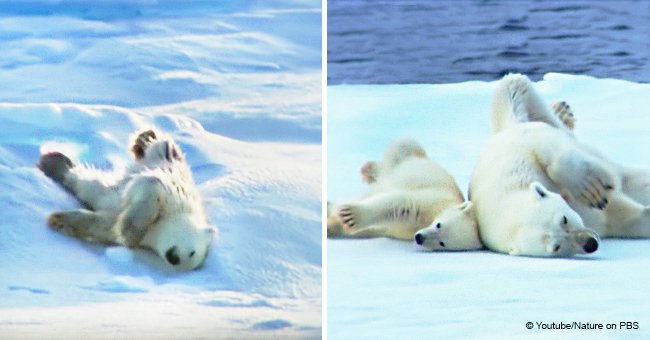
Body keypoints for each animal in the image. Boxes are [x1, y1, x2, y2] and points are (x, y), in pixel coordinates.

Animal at [38, 127, 215, 270]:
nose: (174, 258)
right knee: (159, 147)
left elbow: (101, 224)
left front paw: (58, 220)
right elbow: (153, 184)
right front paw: (131, 229)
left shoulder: (116, 228)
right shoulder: (174, 196)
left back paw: (53, 163)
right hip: (164, 157)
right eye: (192, 252)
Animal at [326, 137, 478, 251]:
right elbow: (402, 203)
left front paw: (333, 225)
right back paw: (369, 170)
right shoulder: (431, 200)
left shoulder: (400, 230)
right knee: (402, 147)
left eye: (443, 244)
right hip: (409, 158)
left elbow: (374, 228)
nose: (419, 238)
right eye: (439, 225)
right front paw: (350, 216)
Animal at [468, 73, 648, 256]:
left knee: (512, 85)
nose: (590, 244)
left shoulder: (519, 151)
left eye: (563, 219)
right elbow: (623, 218)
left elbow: (548, 150)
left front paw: (589, 188)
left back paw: (562, 111)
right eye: (556, 247)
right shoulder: (591, 218)